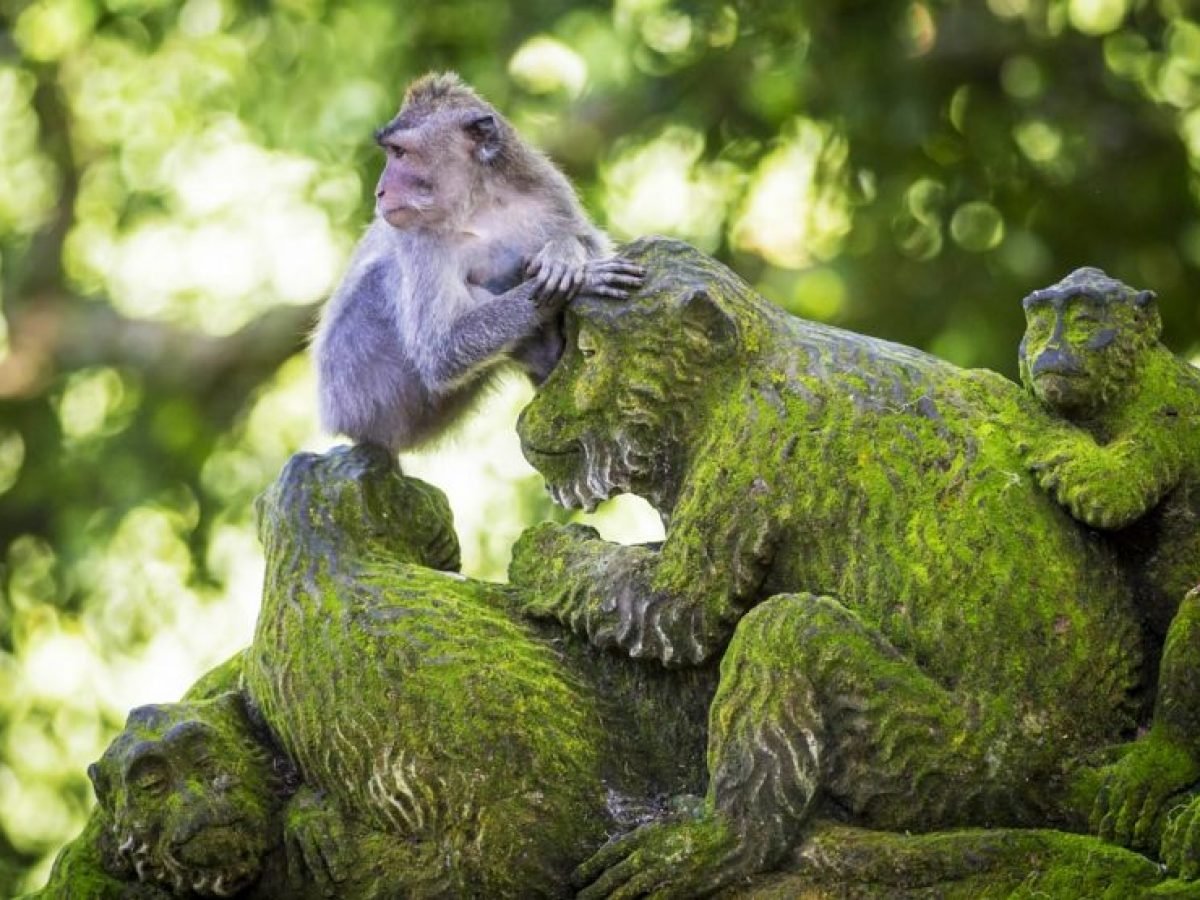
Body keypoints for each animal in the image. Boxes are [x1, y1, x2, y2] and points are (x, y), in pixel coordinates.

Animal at [313, 72, 644, 452]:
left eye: (399, 152)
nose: (380, 192)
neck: (478, 203)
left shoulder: (546, 187)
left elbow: (588, 237)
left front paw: (564, 253)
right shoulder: (417, 239)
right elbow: (440, 348)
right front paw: (586, 276)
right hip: (361, 386)